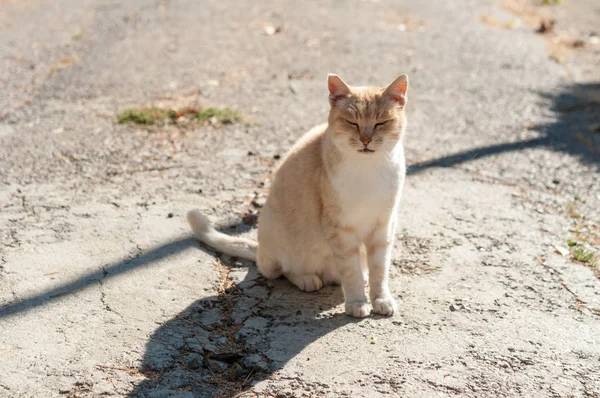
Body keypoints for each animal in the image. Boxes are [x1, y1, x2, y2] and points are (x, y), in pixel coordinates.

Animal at [190, 74, 410, 318]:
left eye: (381, 123)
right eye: (352, 123)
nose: (365, 140)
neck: (369, 170)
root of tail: (261, 252)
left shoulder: (384, 226)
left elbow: (379, 271)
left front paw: (381, 299)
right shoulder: (340, 230)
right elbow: (350, 272)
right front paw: (356, 302)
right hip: (278, 237)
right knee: (283, 271)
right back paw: (307, 279)